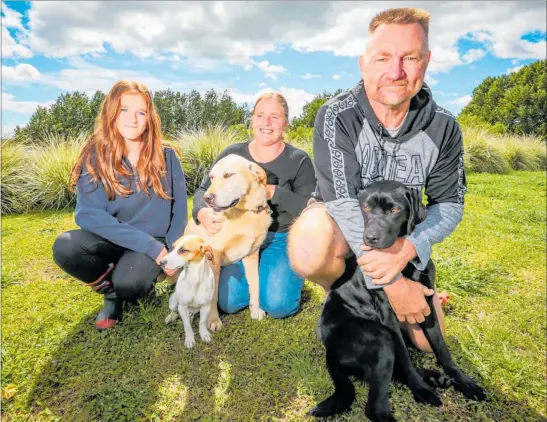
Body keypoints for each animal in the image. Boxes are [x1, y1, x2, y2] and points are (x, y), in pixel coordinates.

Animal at [184, 153, 272, 332]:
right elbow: (212, 295)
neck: (244, 213)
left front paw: (255, 310)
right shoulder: (213, 258)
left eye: (228, 175)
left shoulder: (252, 254)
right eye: (211, 177)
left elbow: (255, 284)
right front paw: (212, 320)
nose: (207, 198)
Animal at [310, 181, 486, 422]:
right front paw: (420, 390)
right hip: (381, 338)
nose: (370, 238)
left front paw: (466, 382)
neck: (404, 264)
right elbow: (405, 356)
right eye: (365, 208)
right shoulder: (388, 316)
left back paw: (434, 377)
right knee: (375, 407)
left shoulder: (427, 303)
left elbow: (442, 350)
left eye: (394, 210)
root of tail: (329, 349)